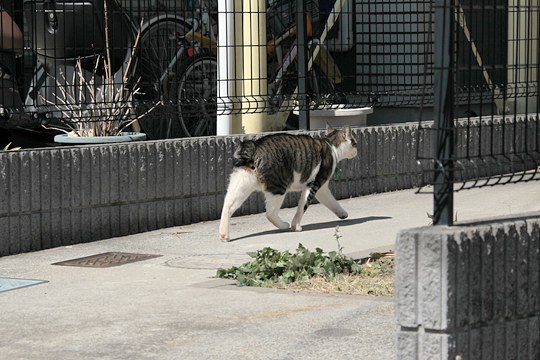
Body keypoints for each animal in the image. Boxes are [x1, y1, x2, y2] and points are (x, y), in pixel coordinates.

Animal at [217, 124, 356, 242]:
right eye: (355, 142)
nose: (357, 150)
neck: (331, 146)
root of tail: (255, 146)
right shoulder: (315, 183)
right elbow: (302, 206)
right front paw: (296, 226)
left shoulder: (322, 189)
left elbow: (332, 202)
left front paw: (342, 213)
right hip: (278, 188)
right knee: (270, 214)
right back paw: (284, 225)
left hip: (241, 182)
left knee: (228, 205)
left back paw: (224, 234)